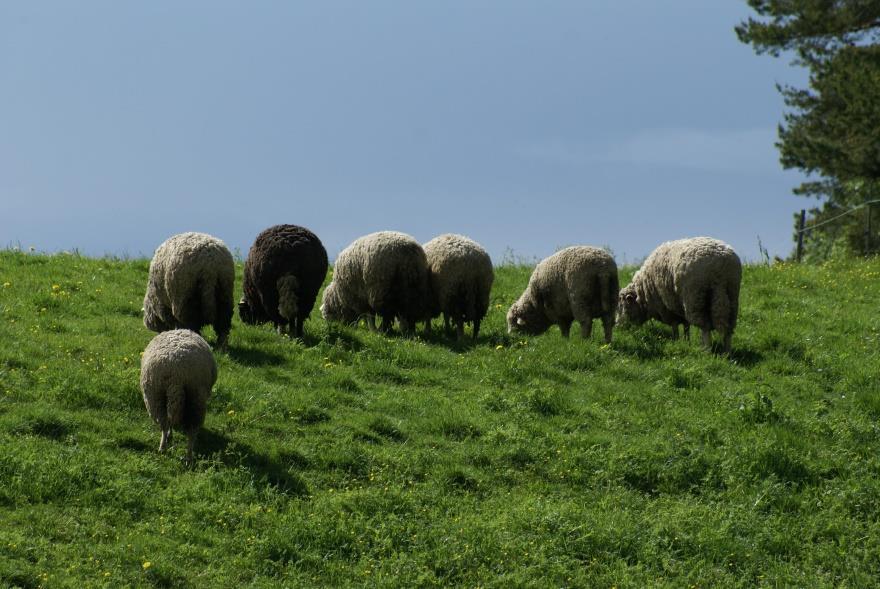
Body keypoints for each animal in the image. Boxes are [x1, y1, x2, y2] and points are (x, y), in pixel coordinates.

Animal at [141, 328, 218, 466]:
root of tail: (176, 376)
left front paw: (170, 435)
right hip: (196, 398)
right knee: (191, 431)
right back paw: (189, 458)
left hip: (155, 397)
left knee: (164, 423)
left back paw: (163, 447)